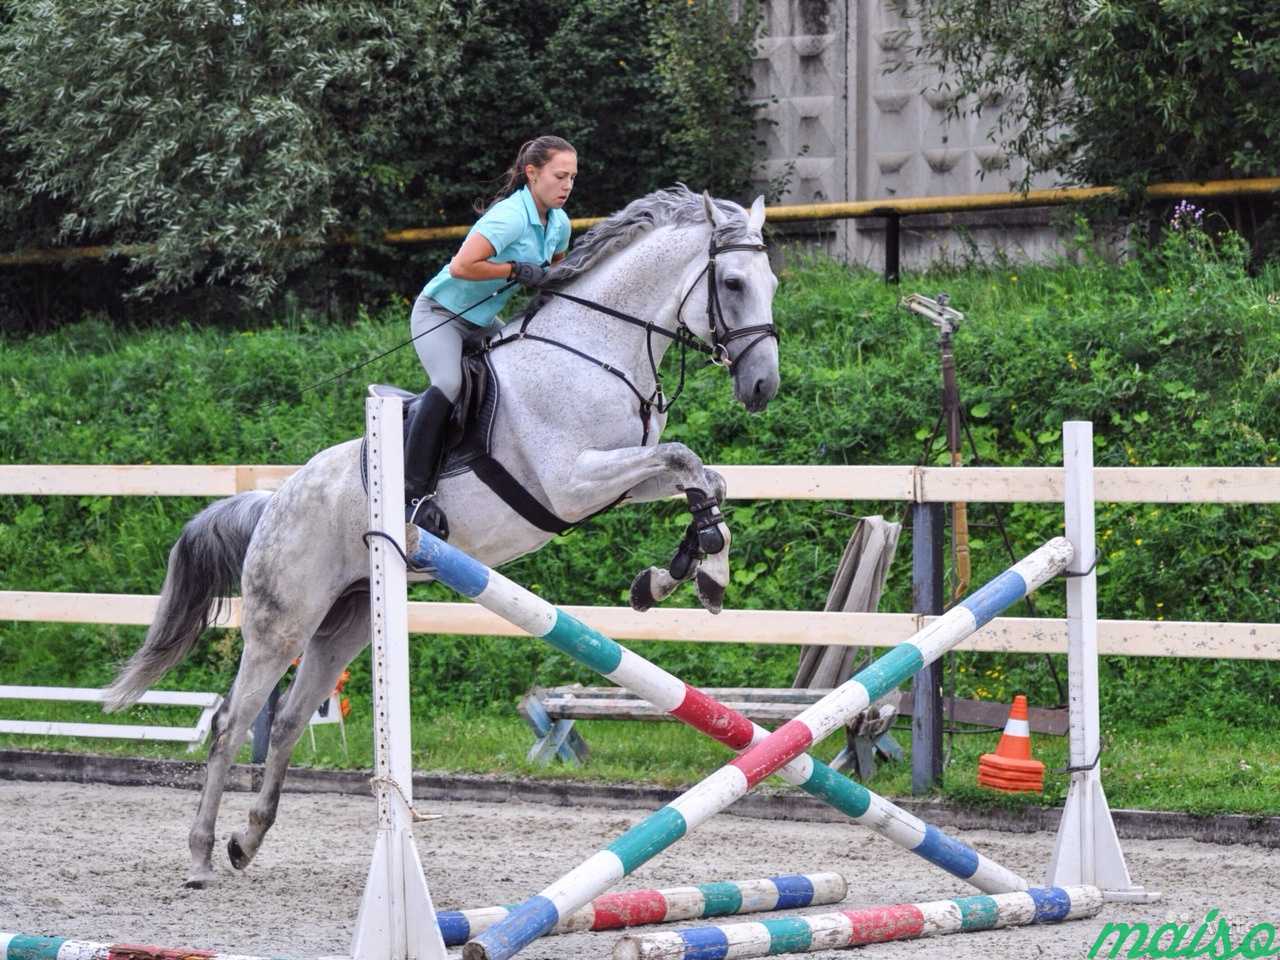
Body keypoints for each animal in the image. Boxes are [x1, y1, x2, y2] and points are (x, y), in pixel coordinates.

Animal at [102, 184, 778, 890]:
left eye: (773, 283)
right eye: (733, 283)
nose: (764, 387)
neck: (596, 350)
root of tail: (272, 503)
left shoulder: (618, 480)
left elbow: (703, 474)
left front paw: (687, 574)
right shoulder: (570, 483)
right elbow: (684, 457)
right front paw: (694, 569)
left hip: (344, 622)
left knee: (286, 720)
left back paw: (247, 840)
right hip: (282, 621)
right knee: (232, 722)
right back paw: (201, 854)